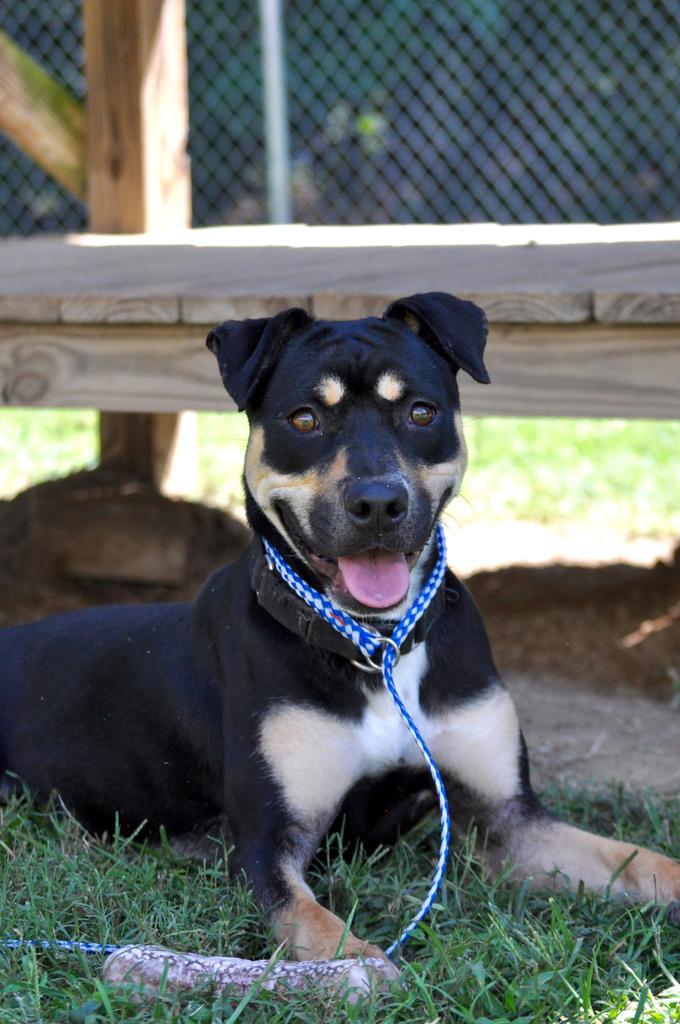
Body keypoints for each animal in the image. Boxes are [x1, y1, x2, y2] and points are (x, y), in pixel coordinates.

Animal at [1, 290, 680, 966]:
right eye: (304, 420)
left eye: (421, 412)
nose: (378, 503)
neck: (375, 647)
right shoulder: (268, 844)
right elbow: (324, 933)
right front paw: (365, 970)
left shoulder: (510, 818)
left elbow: (644, 862)